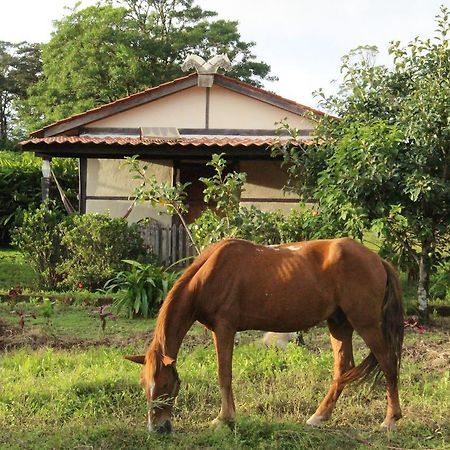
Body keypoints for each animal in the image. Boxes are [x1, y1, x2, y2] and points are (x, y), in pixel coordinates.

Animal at [126, 239, 404, 432]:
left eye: (164, 385)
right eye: (143, 384)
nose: (157, 429)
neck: (209, 274)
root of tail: (377, 260)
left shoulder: (224, 328)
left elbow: (224, 374)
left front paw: (224, 419)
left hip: (366, 323)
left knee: (388, 363)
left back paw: (390, 420)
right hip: (339, 324)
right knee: (343, 369)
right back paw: (319, 417)